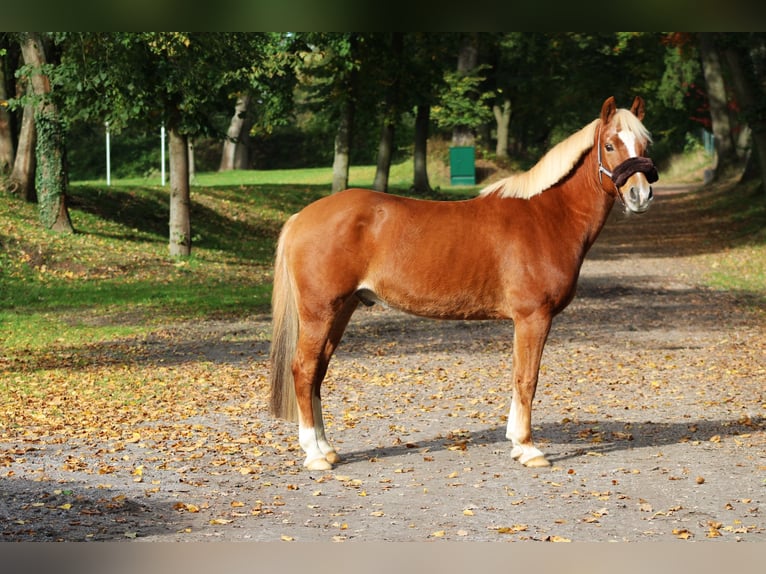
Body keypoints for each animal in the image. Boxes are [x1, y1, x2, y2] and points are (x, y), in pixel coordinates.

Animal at [268, 95, 656, 472]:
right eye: (609, 145)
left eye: (644, 144)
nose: (640, 195)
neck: (546, 216)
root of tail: (302, 216)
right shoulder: (533, 318)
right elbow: (527, 379)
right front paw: (528, 449)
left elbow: (517, 376)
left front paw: (516, 442)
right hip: (320, 312)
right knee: (304, 370)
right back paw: (315, 455)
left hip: (342, 310)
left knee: (318, 372)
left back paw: (327, 449)